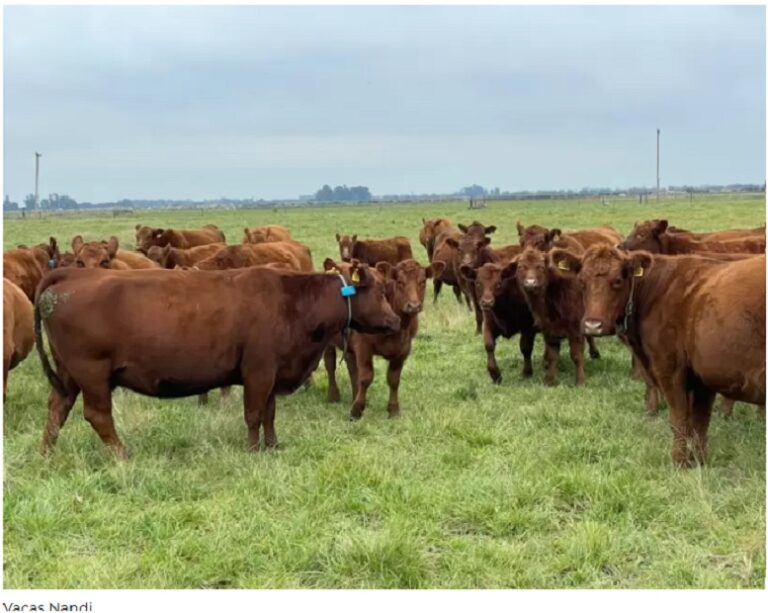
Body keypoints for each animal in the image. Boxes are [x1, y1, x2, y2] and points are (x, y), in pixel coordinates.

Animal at [34, 262, 400, 455]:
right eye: (381, 292)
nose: (396, 320)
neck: (293, 302)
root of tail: (72, 274)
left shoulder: (272, 373)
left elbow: (269, 414)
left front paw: (272, 445)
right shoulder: (258, 372)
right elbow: (253, 414)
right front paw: (253, 450)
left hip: (69, 375)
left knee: (57, 409)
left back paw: (47, 455)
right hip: (92, 373)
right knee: (98, 416)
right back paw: (123, 456)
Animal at [323, 258, 443, 419]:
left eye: (423, 281)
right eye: (400, 282)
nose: (413, 306)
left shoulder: (403, 350)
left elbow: (394, 379)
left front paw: (393, 409)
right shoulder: (364, 346)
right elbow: (366, 377)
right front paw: (356, 410)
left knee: (352, 367)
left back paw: (355, 394)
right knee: (330, 364)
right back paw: (333, 395)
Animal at [551, 245, 765, 466]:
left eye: (617, 280)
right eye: (581, 281)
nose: (593, 325)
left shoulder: (669, 369)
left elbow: (679, 420)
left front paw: (679, 463)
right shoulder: (703, 376)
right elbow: (699, 424)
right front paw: (699, 462)